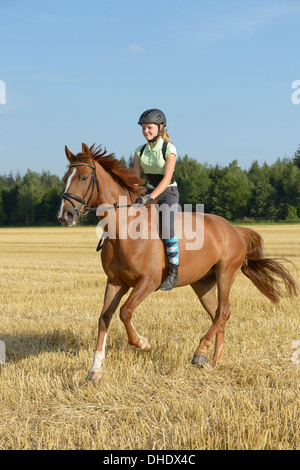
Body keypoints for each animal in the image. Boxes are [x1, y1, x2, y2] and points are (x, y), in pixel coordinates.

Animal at [57, 144, 296, 382]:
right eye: (65, 178)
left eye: (84, 177)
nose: (65, 215)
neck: (124, 230)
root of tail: (234, 230)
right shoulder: (116, 282)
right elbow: (104, 317)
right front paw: (95, 368)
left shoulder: (149, 282)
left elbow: (125, 312)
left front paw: (143, 343)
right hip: (202, 283)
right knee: (218, 314)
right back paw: (214, 361)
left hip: (226, 273)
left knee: (224, 313)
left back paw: (200, 352)